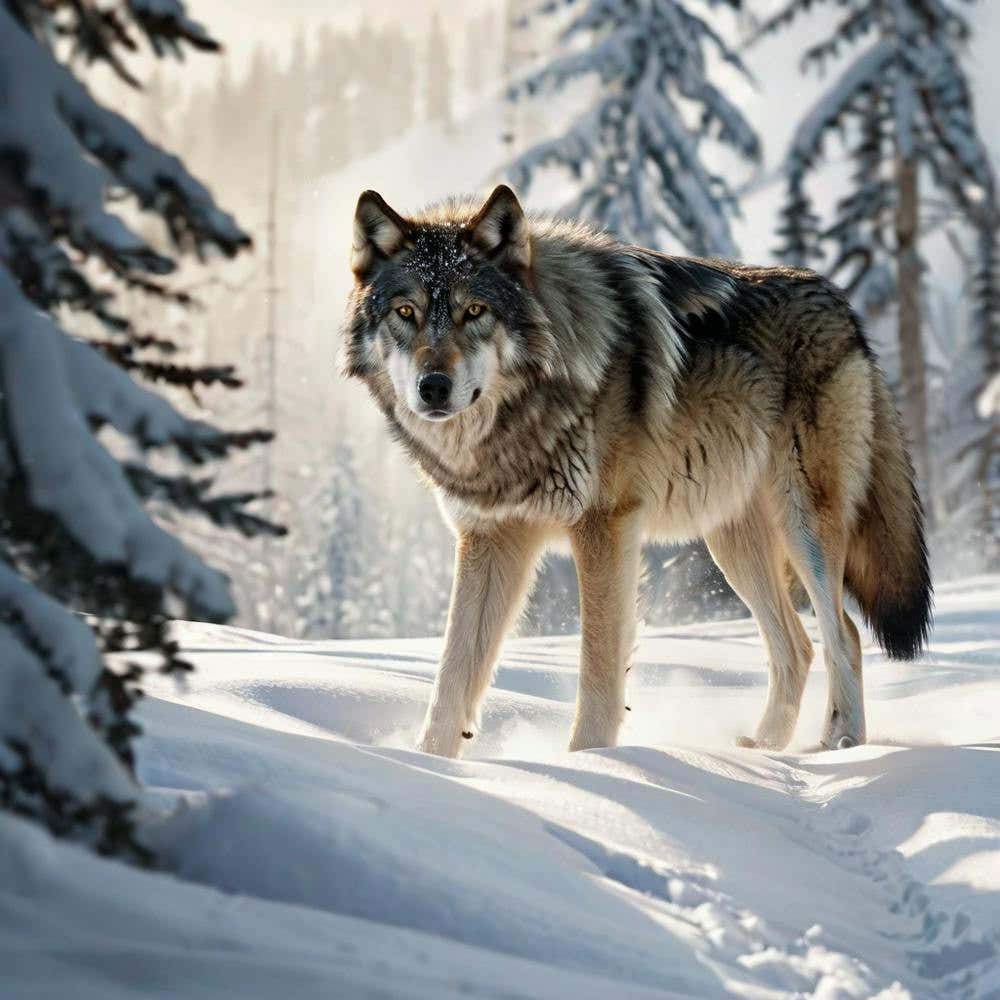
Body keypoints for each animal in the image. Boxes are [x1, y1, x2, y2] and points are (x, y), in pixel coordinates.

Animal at [341, 184, 932, 758]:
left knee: (844, 634)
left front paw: (592, 762)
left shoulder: (604, 525)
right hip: (732, 545)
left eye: (475, 310)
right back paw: (764, 749)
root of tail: (840, 302)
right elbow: (452, 674)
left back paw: (842, 743)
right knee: (797, 646)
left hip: (802, 525)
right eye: (406, 313)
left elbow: (599, 668)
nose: (433, 388)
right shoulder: (488, 537)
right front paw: (430, 763)